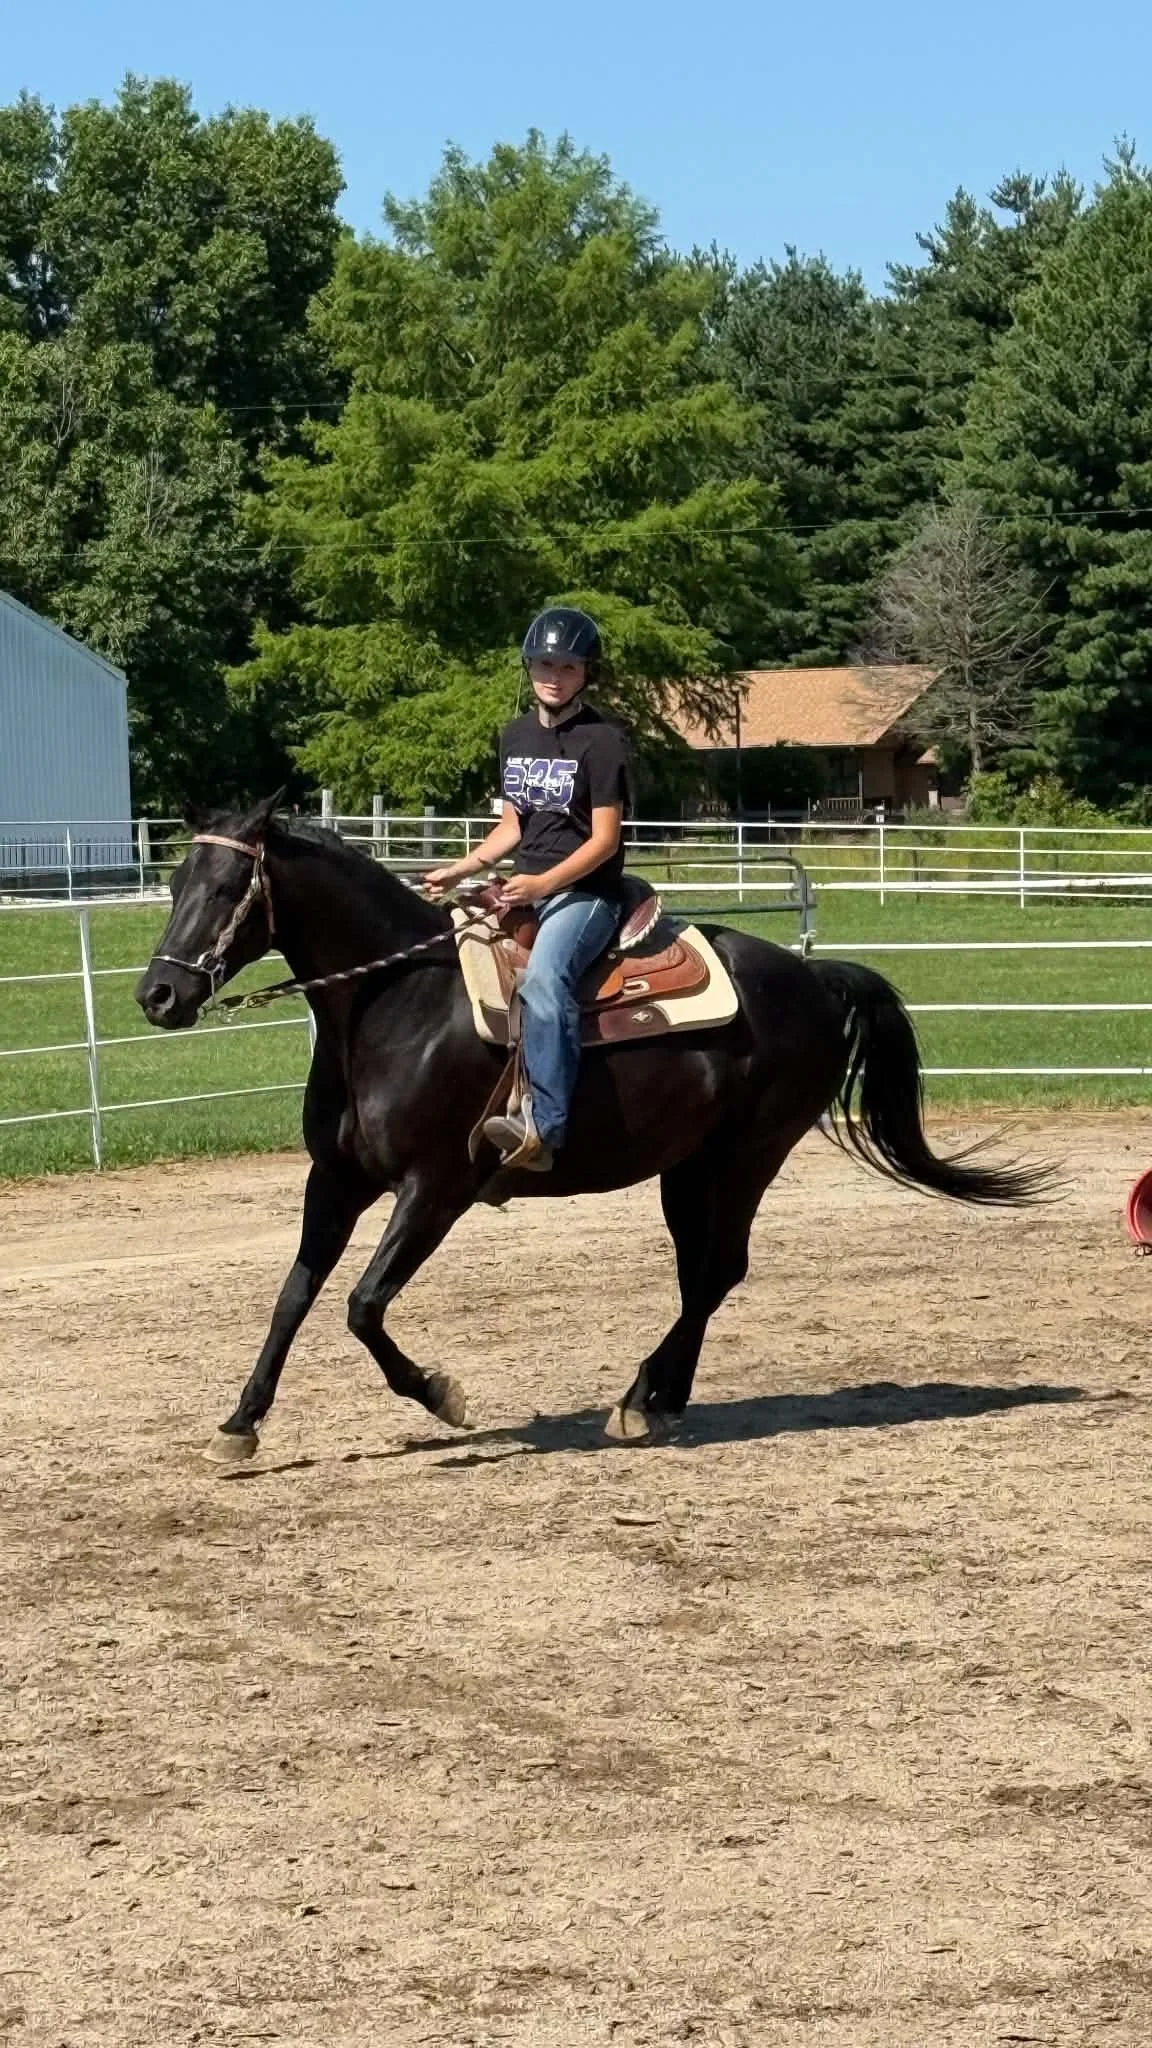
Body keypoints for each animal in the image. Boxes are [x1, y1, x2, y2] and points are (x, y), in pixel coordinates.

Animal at [134, 797, 1049, 1461]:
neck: (398, 1003)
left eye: (227, 889)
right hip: (688, 1168)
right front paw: (239, 1425)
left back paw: (641, 1400)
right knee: (700, 1274)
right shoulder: (335, 1180)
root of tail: (815, 977)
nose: (158, 996)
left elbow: (361, 1305)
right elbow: (293, 1296)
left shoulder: (436, 1188)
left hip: (748, 1156)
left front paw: (442, 1395)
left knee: (718, 1271)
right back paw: (661, 1397)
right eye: (174, 883)